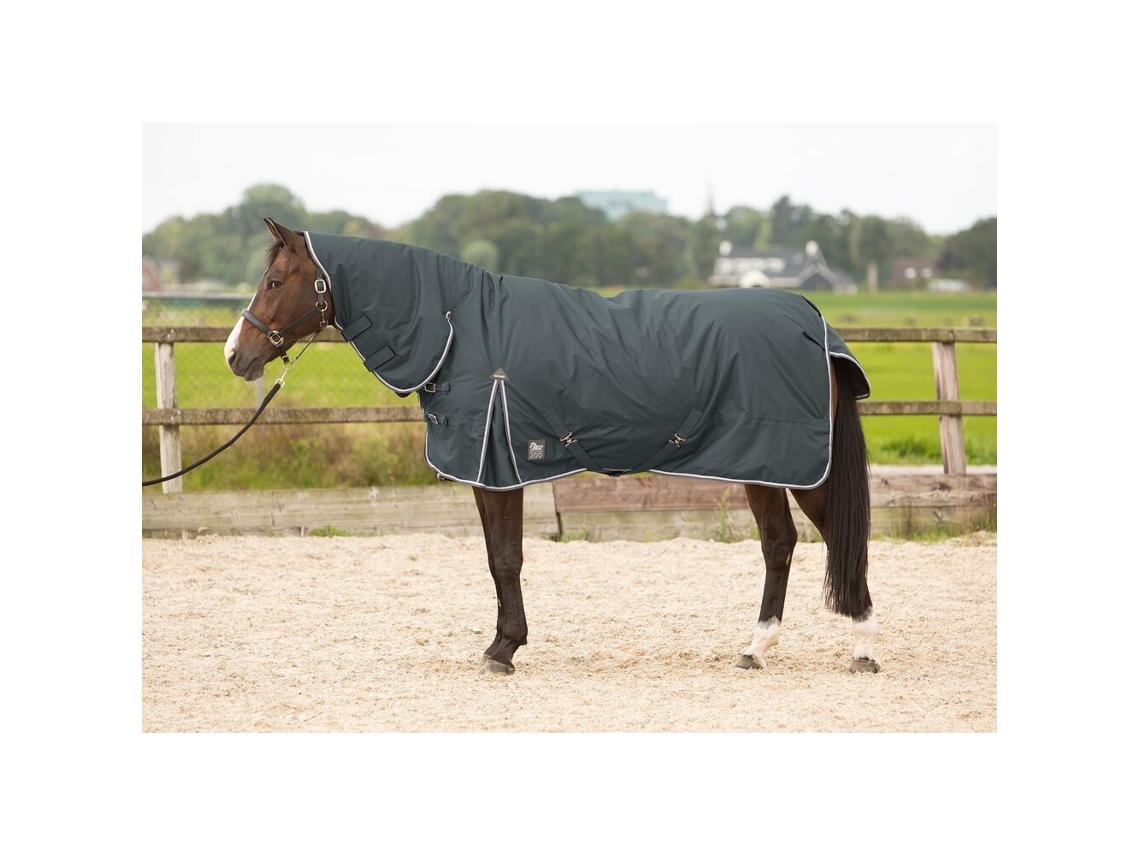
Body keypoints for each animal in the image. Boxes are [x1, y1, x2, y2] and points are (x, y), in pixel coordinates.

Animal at [225, 218, 880, 675]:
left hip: (800, 467)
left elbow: (506, 559)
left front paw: (503, 651)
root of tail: (813, 320)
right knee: (779, 544)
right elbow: (497, 557)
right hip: (760, 462)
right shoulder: (491, 471)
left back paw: (863, 648)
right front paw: (501, 643)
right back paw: (755, 649)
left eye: (275, 282)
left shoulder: (499, 467)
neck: (460, 328)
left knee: (841, 539)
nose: (235, 355)